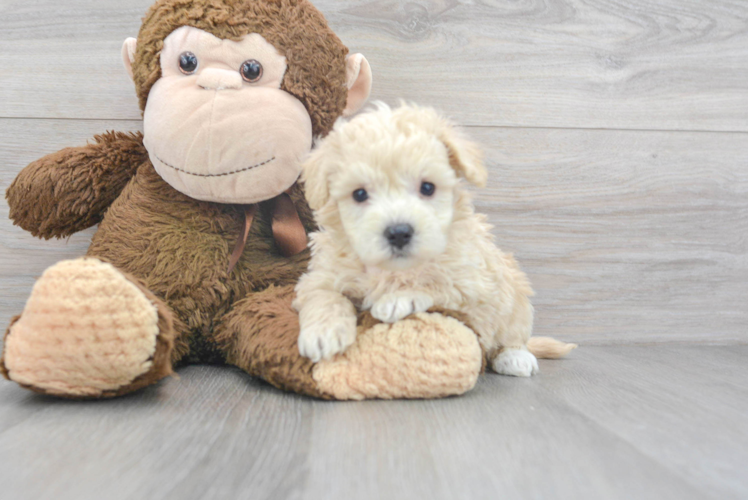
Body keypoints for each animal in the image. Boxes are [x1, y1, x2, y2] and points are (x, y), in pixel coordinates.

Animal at [292, 102, 572, 376]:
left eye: (427, 188)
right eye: (359, 194)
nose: (399, 232)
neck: (393, 269)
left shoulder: (474, 283)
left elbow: (439, 284)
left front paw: (398, 298)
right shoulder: (322, 274)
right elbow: (323, 294)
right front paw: (322, 332)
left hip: (515, 296)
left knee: (514, 334)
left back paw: (515, 357)